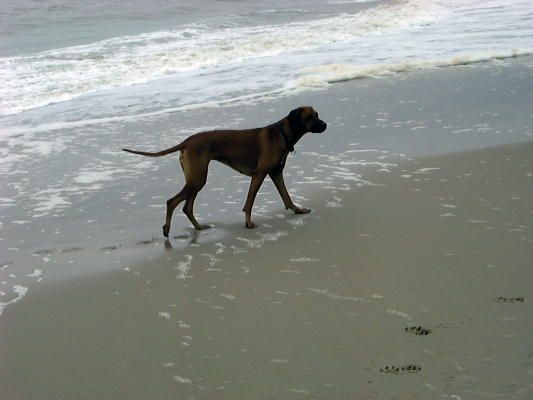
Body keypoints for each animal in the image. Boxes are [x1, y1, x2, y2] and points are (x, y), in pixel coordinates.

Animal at [123, 106, 327, 237]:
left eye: (317, 114)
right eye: (309, 117)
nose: (325, 125)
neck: (282, 133)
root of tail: (187, 141)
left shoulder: (276, 173)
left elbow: (286, 196)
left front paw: (298, 210)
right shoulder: (259, 174)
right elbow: (250, 201)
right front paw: (249, 223)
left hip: (196, 179)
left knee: (187, 207)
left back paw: (199, 227)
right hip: (197, 178)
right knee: (172, 202)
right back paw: (167, 229)